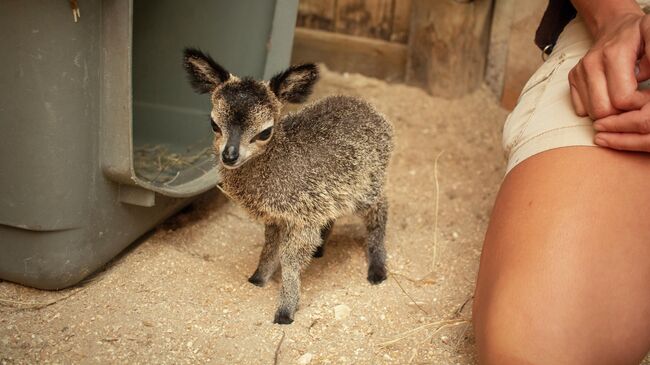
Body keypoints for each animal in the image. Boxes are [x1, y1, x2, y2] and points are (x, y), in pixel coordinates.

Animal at [184, 47, 394, 322]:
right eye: (214, 124)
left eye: (265, 132)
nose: (229, 155)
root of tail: (371, 111)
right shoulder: (279, 217)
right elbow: (270, 248)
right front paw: (258, 278)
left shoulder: (302, 219)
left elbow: (290, 260)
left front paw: (285, 311)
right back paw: (321, 248)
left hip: (366, 187)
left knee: (380, 209)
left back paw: (377, 269)